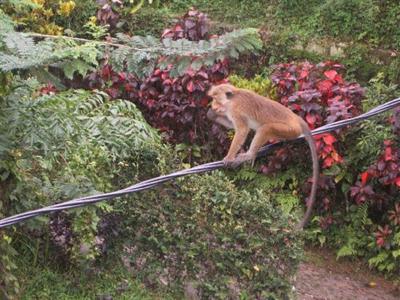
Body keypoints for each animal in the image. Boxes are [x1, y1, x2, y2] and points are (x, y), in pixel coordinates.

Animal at [206, 83, 318, 229]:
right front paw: (211, 114)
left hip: (290, 129)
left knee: (266, 128)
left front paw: (229, 157)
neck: (232, 98)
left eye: (216, 98)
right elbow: (232, 125)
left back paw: (250, 155)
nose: (213, 105)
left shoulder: (236, 110)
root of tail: (296, 118)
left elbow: (242, 130)